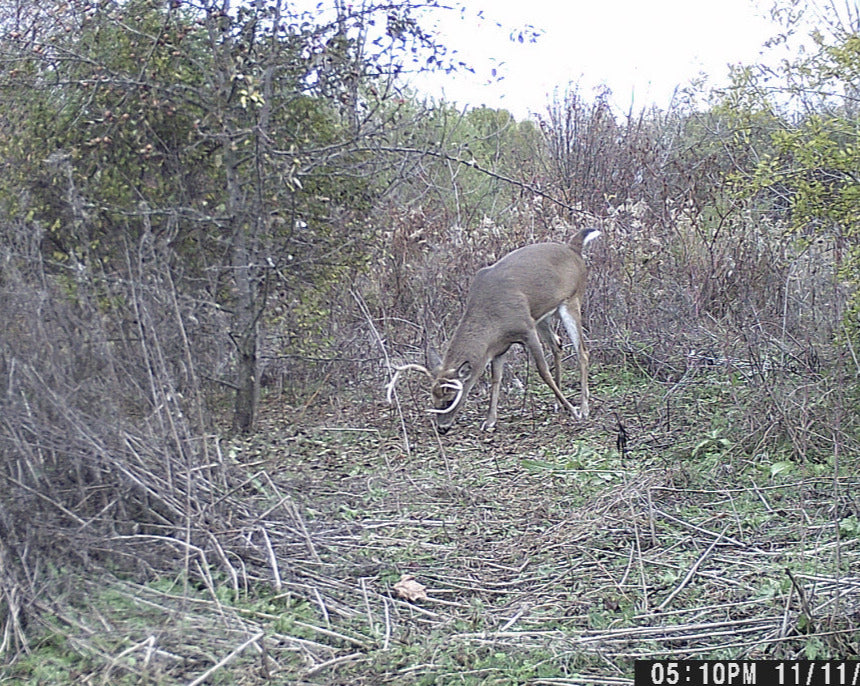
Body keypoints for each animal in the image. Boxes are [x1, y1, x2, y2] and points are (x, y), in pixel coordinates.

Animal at [386, 228, 600, 432]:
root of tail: (573, 249)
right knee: (557, 344)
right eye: (433, 399)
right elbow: (496, 378)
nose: (442, 428)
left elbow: (542, 370)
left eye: (449, 399)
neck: (493, 320)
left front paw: (573, 410)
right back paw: (558, 404)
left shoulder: (526, 329)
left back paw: (583, 408)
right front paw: (489, 421)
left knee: (582, 351)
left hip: (572, 301)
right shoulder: (500, 347)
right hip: (543, 317)